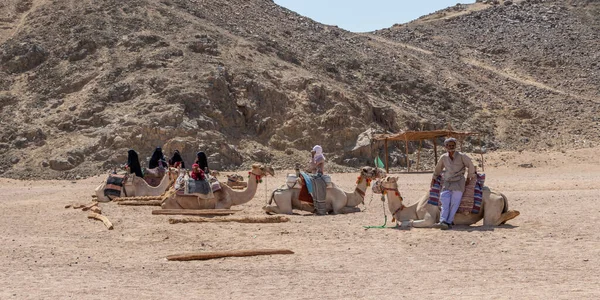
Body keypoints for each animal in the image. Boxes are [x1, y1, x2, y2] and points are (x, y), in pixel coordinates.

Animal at [372, 176, 516, 227]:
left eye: (384, 179)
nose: (373, 185)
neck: (413, 208)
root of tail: (500, 194)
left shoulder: (428, 216)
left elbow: (409, 223)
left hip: (492, 204)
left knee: (490, 222)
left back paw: (514, 212)